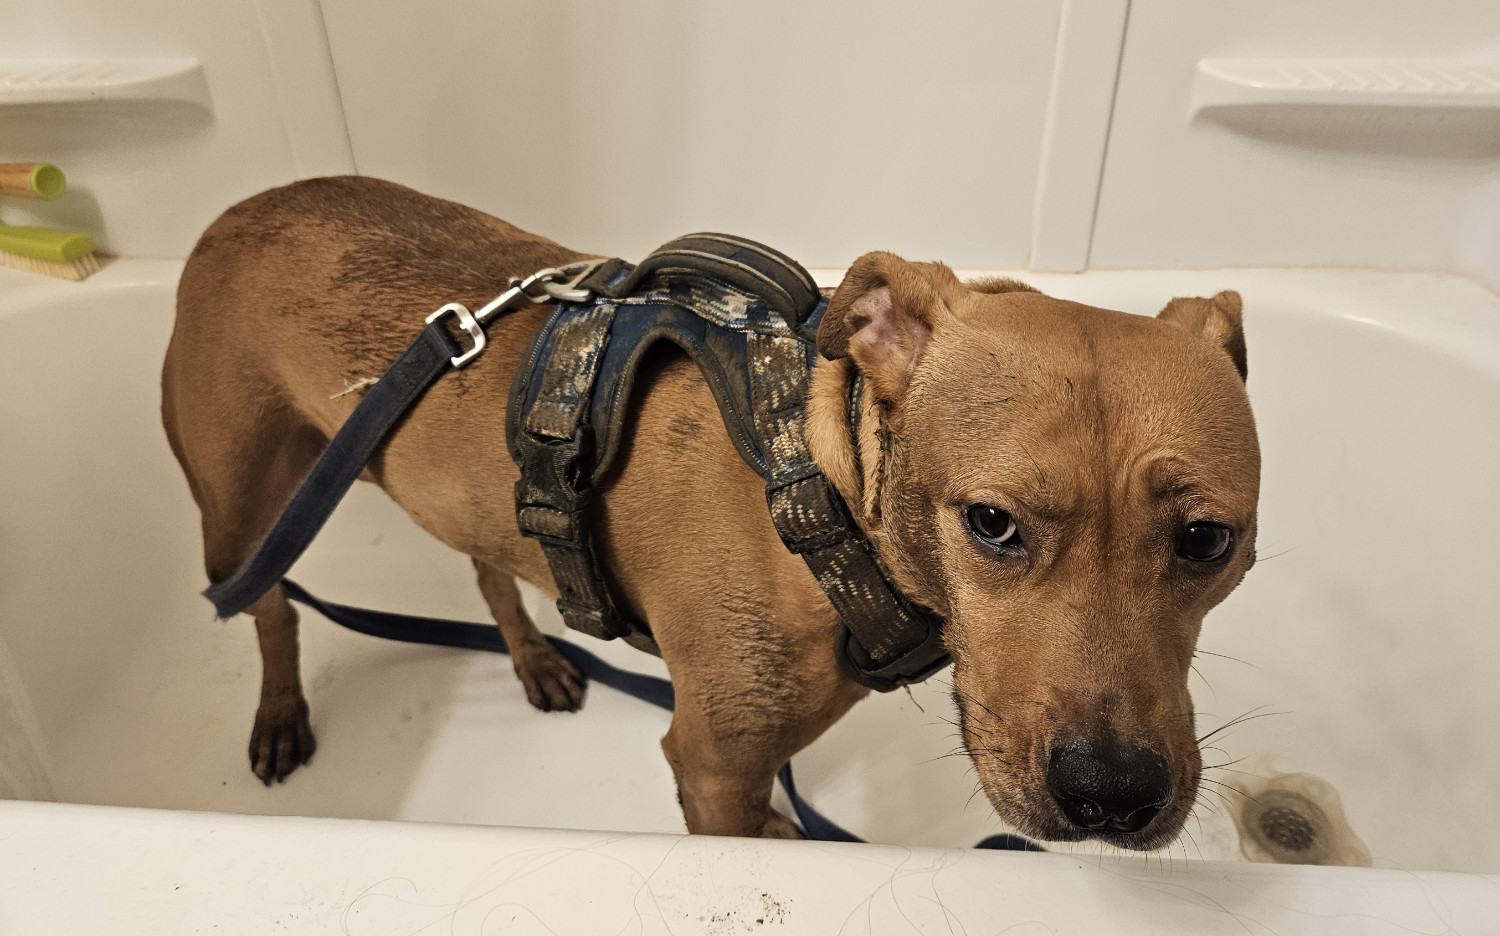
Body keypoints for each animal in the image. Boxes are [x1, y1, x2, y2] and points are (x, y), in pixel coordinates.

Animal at [161, 175, 1254, 846]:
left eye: (1210, 540)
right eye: (991, 523)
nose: (1112, 796)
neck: (815, 498)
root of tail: (227, 213)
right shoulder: (711, 765)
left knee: (485, 567)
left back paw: (534, 657)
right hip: (238, 517)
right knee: (269, 609)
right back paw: (280, 713)